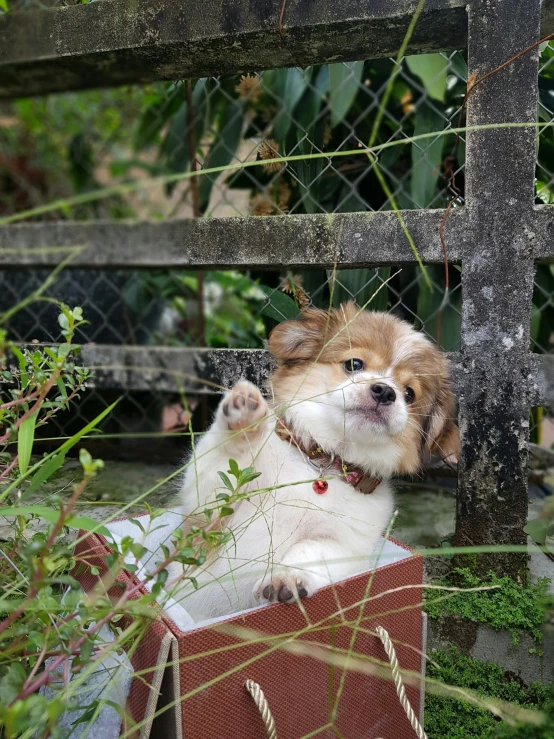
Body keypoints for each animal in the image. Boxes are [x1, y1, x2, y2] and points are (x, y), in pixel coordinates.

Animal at [167, 304, 458, 620]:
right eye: (354, 364)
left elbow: (309, 550)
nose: (385, 391)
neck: (322, 464)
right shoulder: (208, 510)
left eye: (409, 393)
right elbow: (225, 463)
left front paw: (285, 578)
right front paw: (243, 418)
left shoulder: (345, 545)